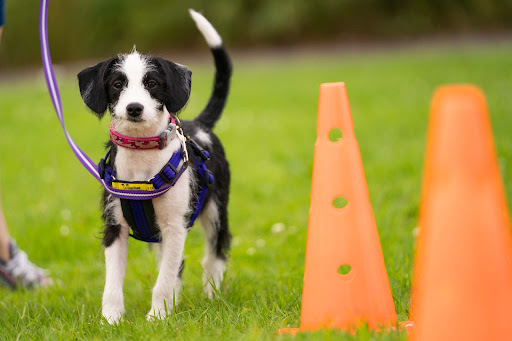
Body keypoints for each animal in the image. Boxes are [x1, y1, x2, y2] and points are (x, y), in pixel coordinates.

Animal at [76, 9, 232, 322]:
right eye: (117, 84)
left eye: (152, 83)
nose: (134, 108)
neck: (141, 160)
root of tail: (200, 124)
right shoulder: (114, 227)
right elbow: (113, 281)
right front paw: (111, 319)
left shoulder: (175, 227)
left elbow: (165, 278)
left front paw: (158, 317)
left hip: (216, 210)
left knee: (215, 252)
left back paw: (211, 294)